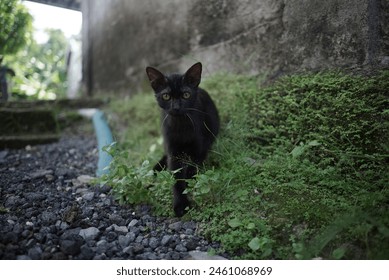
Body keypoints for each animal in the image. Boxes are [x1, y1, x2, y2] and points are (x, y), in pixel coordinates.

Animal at [146, 63, 218, 217]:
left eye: (186, 95)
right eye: (166, 96)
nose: (176, 107)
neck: (180, 126)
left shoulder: (199, 146)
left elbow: (193, 166)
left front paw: (190, 181)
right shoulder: (173, 151)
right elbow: (176, 177)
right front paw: (180, 204)